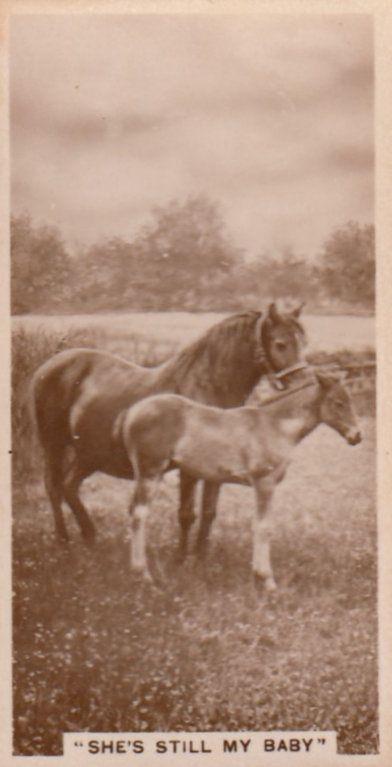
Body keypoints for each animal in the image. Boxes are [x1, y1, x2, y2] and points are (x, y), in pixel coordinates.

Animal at [31, 302, 306, 552]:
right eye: (280, 344)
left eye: (302, 341)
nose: (303, 383)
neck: (206, 386)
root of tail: (50, 364)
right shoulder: (188, 468)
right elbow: (186, 514)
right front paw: (181, 560)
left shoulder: (216, 466)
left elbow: (209, 512)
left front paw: (200, 558)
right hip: (54, 444)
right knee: (54, 487)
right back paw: (64, 541)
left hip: (90, 453)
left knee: (69, 486)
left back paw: (90, 537)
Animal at [122, 372, 362, 592]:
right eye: (338, 403)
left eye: (350, 400)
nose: (357, 437)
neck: (274, 426)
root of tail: (133, 411)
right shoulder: (265, 482)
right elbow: (263, 527)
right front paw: (267, 580)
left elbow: (259, 524)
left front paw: (259, 574)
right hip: (151, 471)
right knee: (139, 514)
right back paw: (143, 574)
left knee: (134, 511)